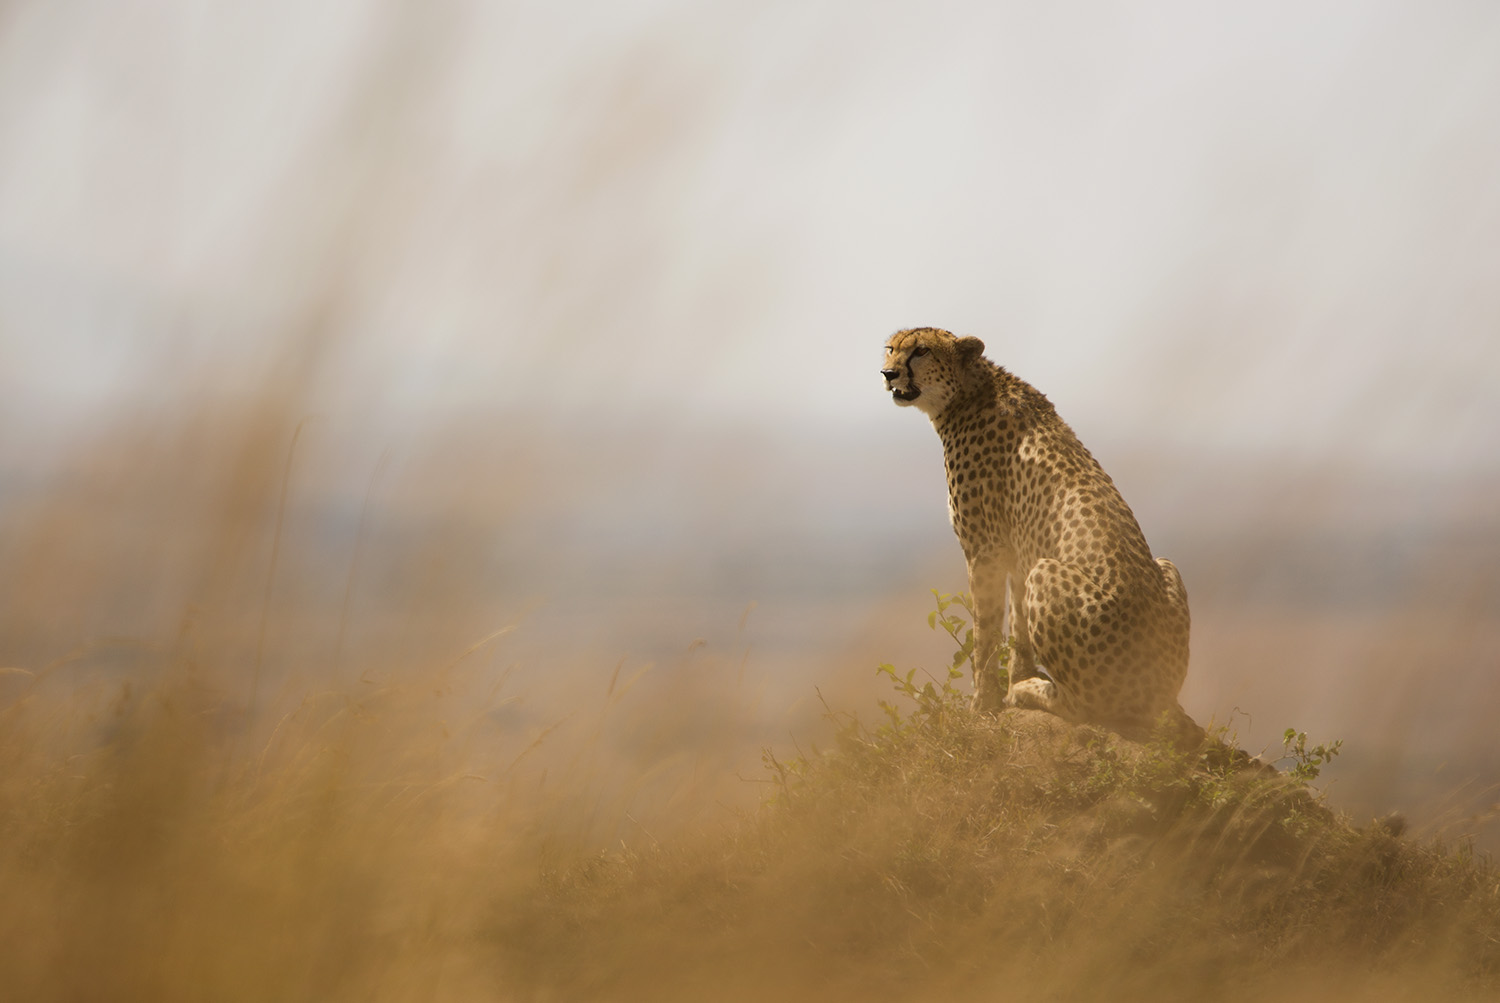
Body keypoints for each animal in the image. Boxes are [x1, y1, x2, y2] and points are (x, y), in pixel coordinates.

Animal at [876, 328, 1194, 734]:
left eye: (921, 351)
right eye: (891, 348)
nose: (888, 374)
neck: (969, 390)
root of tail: (1161, 692)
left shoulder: (985, 550)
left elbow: (985, 632)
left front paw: (983, 703)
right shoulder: (1015, 553)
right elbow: (1017, 627)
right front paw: (1014, 679)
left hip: (1047, 574)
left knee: (1084, 708)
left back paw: (1030, 691)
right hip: (1165, 565)